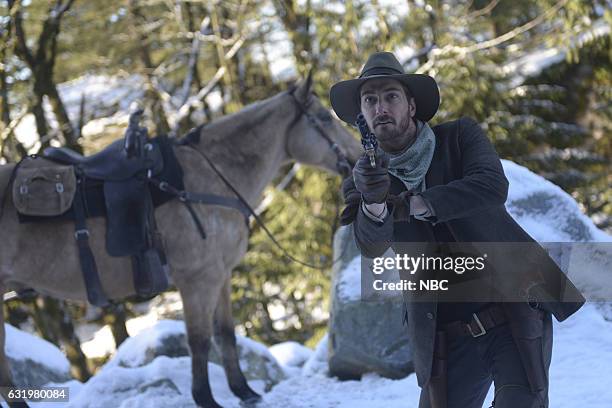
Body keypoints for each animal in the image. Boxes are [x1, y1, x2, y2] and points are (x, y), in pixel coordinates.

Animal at [0, 77, 364, 408]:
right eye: (325, 117)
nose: (357, 156)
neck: (211, 177)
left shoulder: (220, 277)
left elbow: (226, 334)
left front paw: (244, 391)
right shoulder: (197, 280)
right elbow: (199, 340)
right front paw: (206, 398)